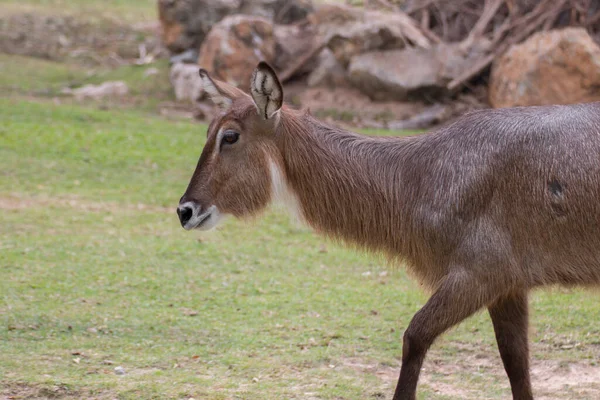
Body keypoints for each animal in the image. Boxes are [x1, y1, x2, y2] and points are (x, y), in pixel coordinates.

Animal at [177, 61, 600, 398]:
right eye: (208, 130)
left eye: (230, 135)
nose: (185, 210)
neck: (418, 178)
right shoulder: (509, 286)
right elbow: (516, 365)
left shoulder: (478, 274)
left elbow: (414, 336)